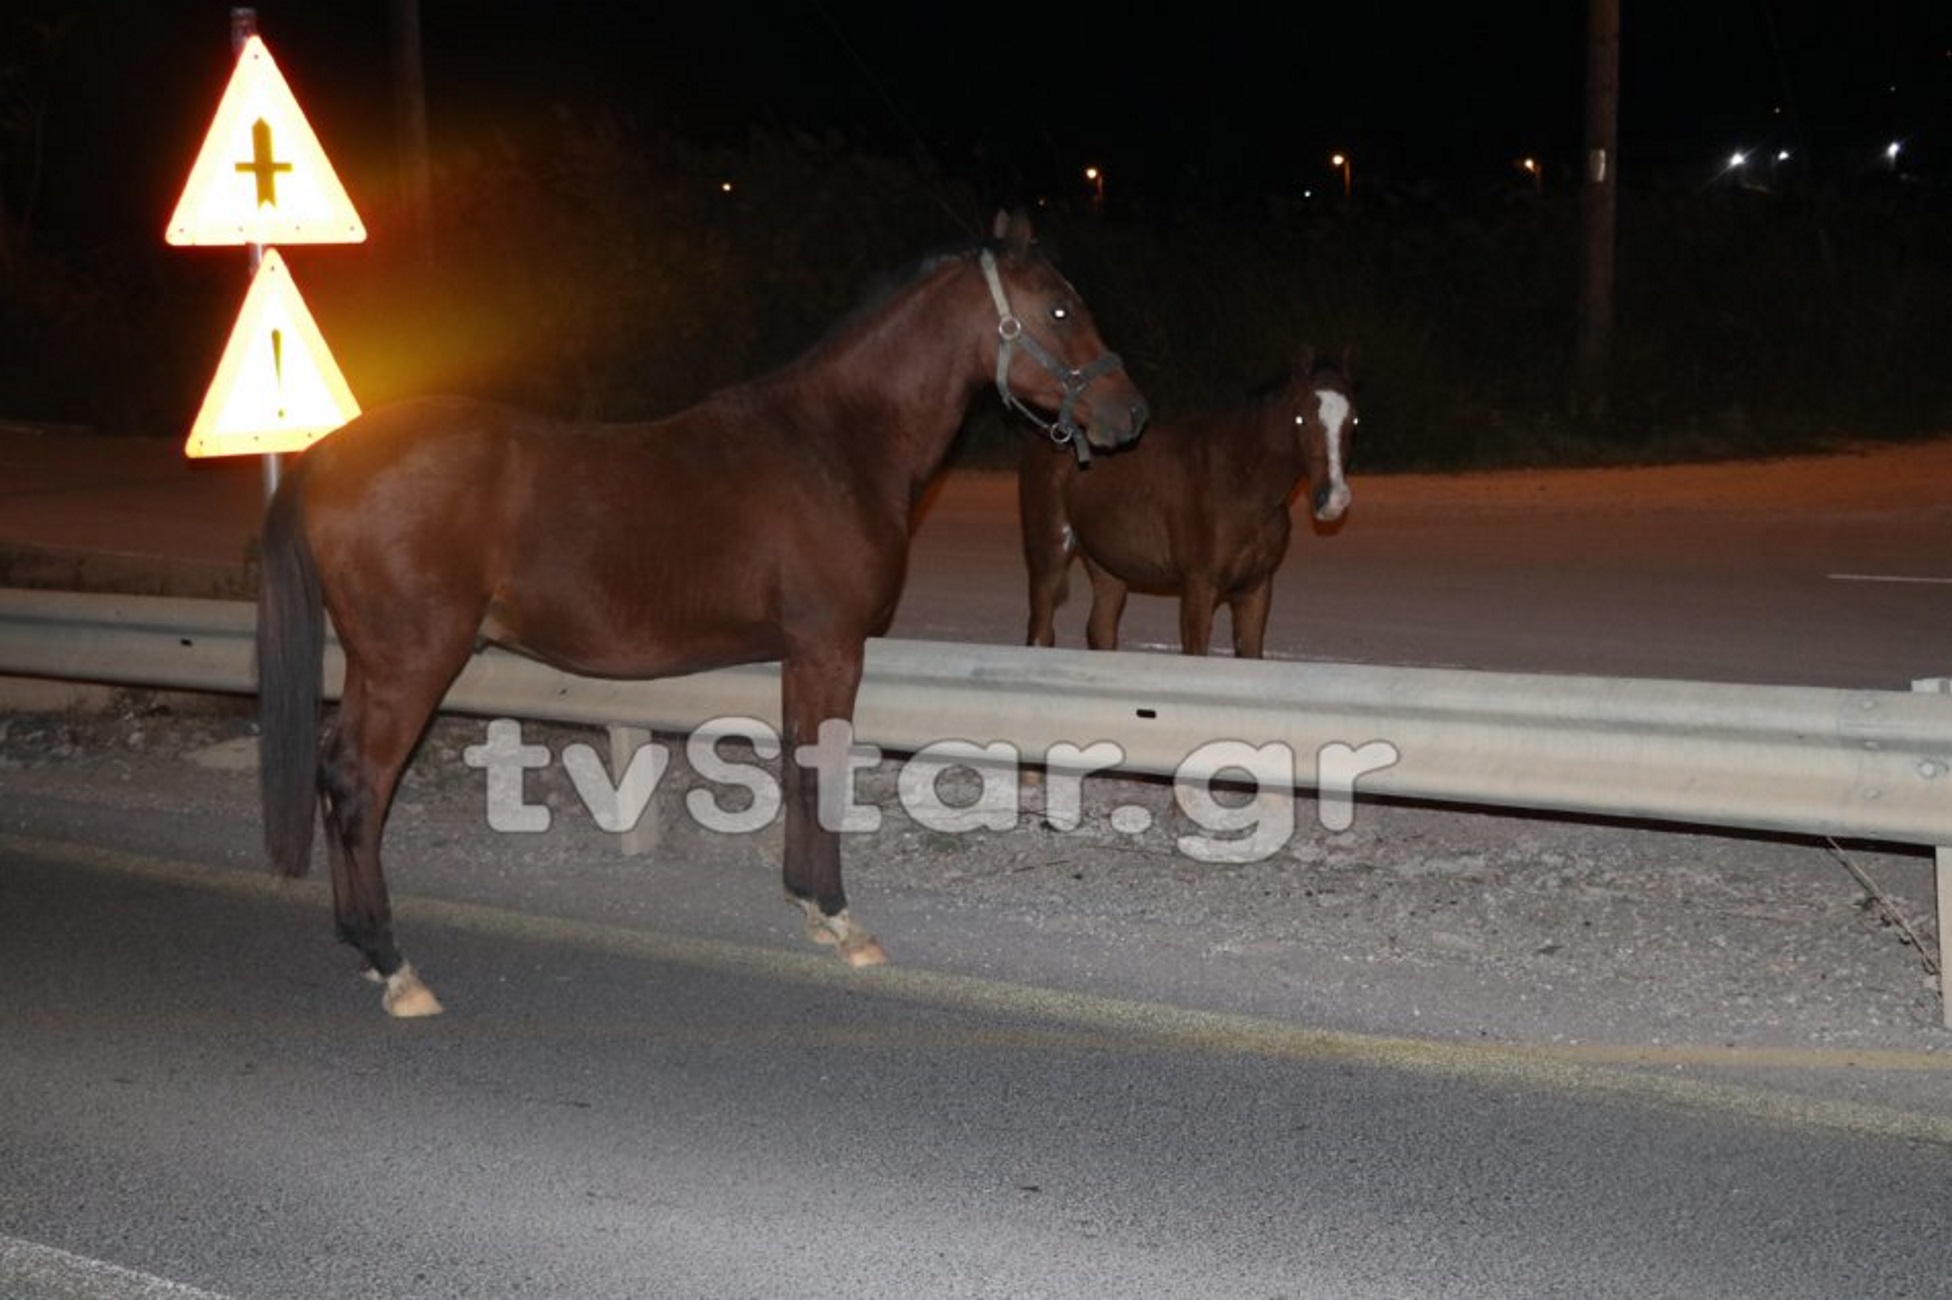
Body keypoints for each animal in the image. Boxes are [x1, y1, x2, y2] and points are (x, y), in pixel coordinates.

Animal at [257, 212, 1139, 1015]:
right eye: (1061, 308)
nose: (1131, 415)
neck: (835, 443)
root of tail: (327, 455)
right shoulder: (831, 645)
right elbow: (820, 768)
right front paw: (841, 919)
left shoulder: (801, 652)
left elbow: (796, 763)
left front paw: (808, 907)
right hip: (412, 663)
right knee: (360, 784)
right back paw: (394, 964)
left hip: (375, 664)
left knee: (335, 773)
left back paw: (362, 946)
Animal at [1015, 343, 1350, 651]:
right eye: (1301, 420)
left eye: (1354, 422)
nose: (1334, 499)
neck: (1239, 484)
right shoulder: (1199, 586)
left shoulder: (1255, 588)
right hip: (1050, 554)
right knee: (1041, 630)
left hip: (1107, 565)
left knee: (1101, 630)